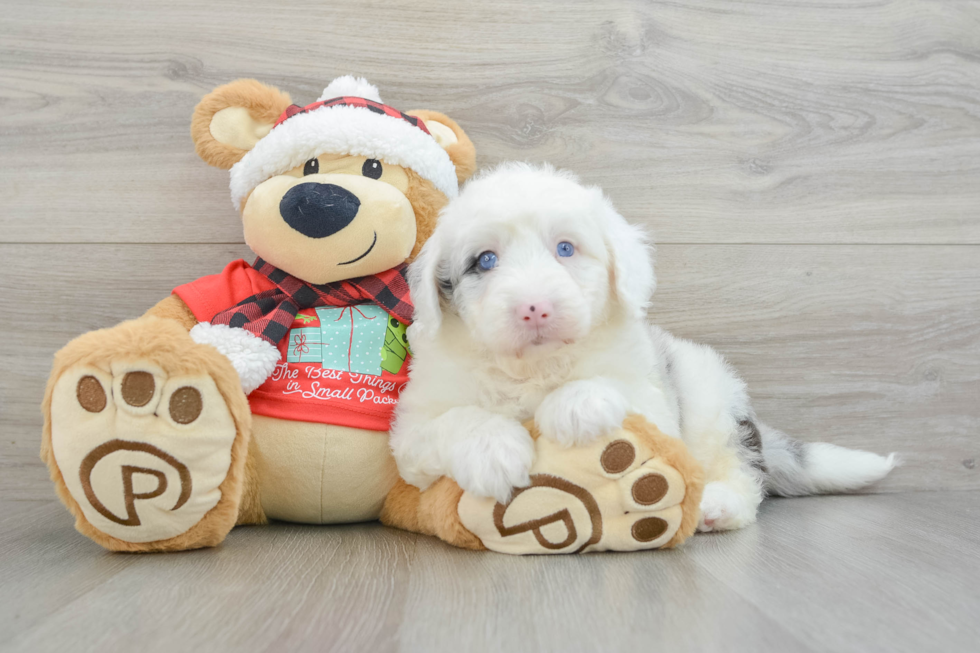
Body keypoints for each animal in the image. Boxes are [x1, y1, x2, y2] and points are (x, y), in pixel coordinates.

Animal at [390, 162, 896, 528]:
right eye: (485, 261)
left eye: (565, 249)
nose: (535, 308)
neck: (536, 367)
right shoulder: (412, 429)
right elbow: (454, 421)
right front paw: (493, 452)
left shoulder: (652, 400)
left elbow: (613, 390)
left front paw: (575, 406)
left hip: (712, 404)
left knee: (744, 473)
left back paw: (717, 506)